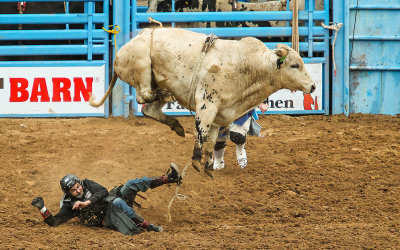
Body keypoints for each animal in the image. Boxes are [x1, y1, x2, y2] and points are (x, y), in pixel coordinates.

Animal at [90, 27, 316, 178]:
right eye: (295, 65)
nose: (313, 86)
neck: (249, 66)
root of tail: (127, 46)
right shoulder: (208, 104)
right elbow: (202, 132)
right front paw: (197, 161)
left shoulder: (221, 114)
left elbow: (212, 139)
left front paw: (209, 164)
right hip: (142, 66)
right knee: (143, 96)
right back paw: (164, 95)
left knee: (149, 108)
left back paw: (175, 123)